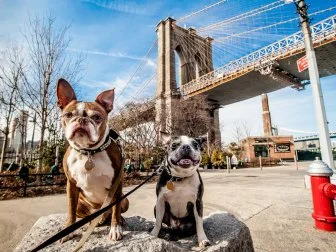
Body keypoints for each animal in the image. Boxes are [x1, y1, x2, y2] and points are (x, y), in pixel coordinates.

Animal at [56, 78, 127, 242]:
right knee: (87, 216)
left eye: (97, 117)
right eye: (68, 115)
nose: (82, 120)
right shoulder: (71, 185)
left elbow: (115, 209)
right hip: (81, 204)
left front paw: (116, 228)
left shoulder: (117, 184)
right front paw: (68, 230)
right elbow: (70, 210)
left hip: (124, 199)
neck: (88, 153)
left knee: (114, 211)